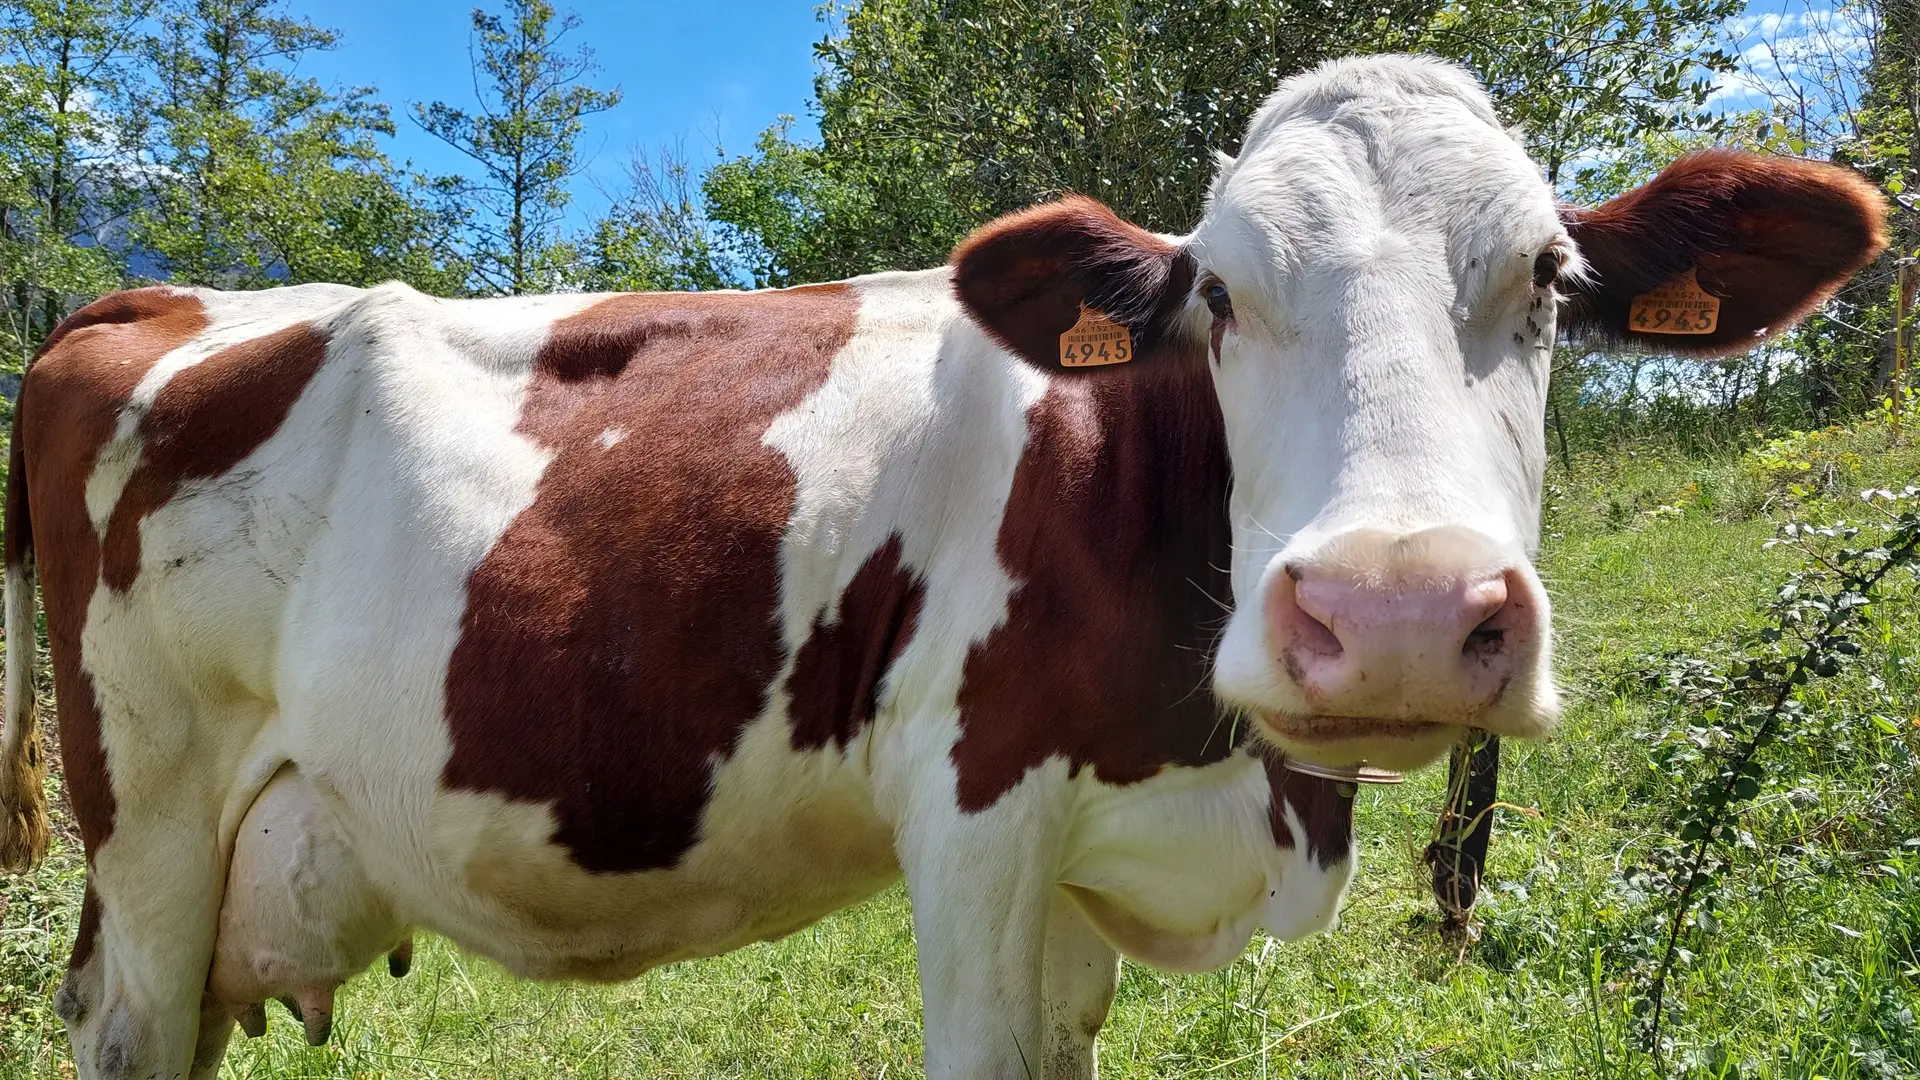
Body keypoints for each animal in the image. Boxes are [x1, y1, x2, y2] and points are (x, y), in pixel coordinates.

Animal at [0, 55, 1885, 1080]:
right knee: (124, 1018)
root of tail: (146, 298)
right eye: (1217, 292)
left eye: (1554, 280)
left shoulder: (1074, 882)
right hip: (150, 812)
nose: (1403, 614)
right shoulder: (976, 818)